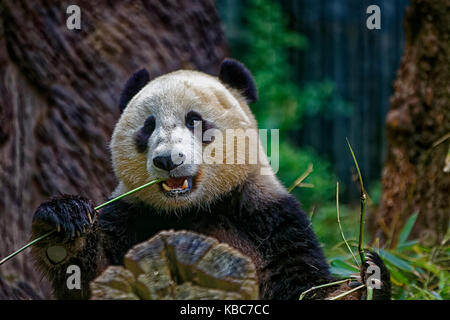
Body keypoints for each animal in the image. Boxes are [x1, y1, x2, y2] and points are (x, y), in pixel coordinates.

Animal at [31, 58, 390, 300]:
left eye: (195, 120)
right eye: (148, 126)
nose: (167, 160)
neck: (191, 210)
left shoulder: (267, 215)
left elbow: (303, 285)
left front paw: (368, 278)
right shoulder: (130, 213)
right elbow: (94, 279)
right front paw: (64, 224)